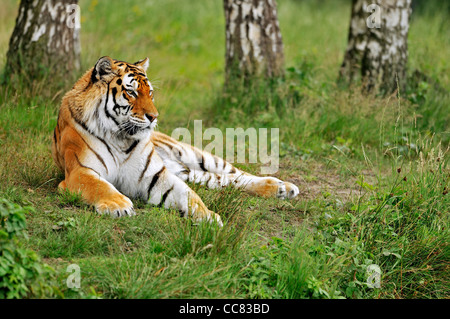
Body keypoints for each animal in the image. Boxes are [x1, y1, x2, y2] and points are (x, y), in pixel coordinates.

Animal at [51, 56, 298, 226]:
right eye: (132, 93)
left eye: (150, 93)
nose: (154, 117)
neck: (120, 136)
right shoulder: (79, 171)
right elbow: (100, 186)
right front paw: (118, 205)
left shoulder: (155, 176)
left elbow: (190, 196)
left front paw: (209, 217)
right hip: (189, 172)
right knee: (224, 180)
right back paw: (279, 189)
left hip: (193, 154)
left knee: (237, 174)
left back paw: (283, 187)